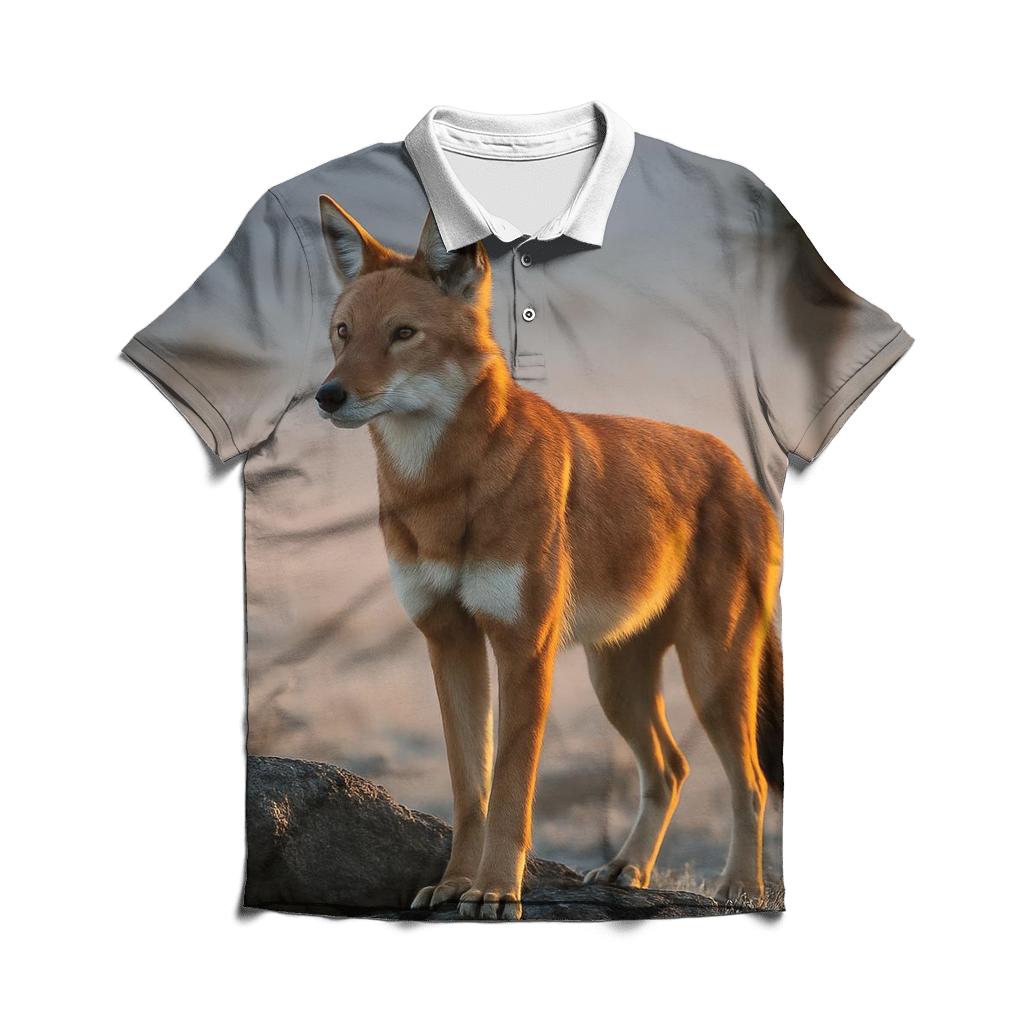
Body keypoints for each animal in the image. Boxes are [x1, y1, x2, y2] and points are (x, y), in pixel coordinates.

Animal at [315, 195, 783, 919]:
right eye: (344, 332)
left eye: (402, 334)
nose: (328, 395)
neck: (442, 489)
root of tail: (738, 464)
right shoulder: (448, 643)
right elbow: (469, 789)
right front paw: (454, 884)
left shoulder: (523, 649)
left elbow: (511, 788)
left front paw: (496, 892)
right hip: (615, 681)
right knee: (671, 768)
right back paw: (626, 870)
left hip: (714, 674)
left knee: (751, 781)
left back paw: (740, 890)